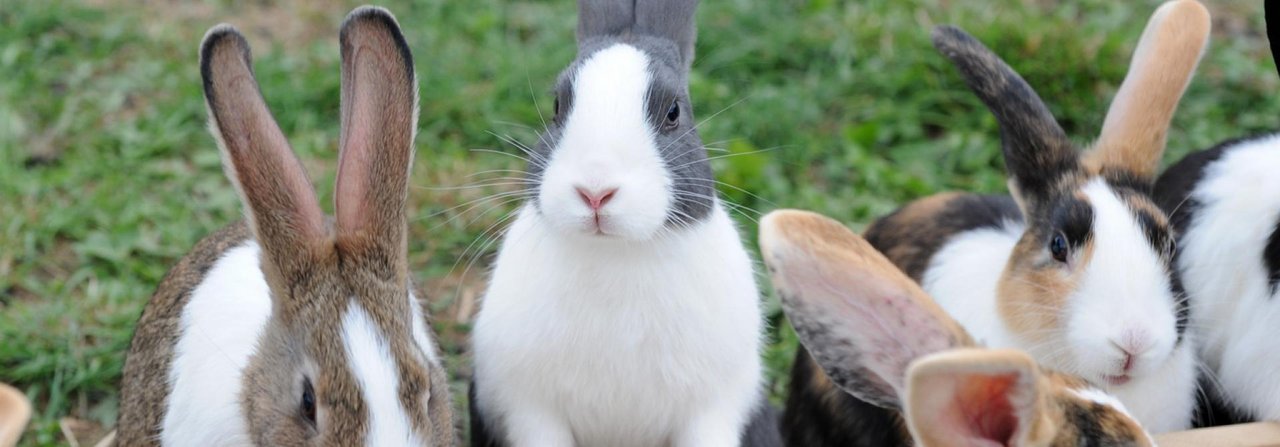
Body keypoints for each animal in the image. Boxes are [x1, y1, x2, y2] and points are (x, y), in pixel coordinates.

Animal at [465, 0, 773, 445]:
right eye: (557, 107)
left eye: (673, 112)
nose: (595, 192)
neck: (613, 251)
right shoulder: (530, 409)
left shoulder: (712, 409)